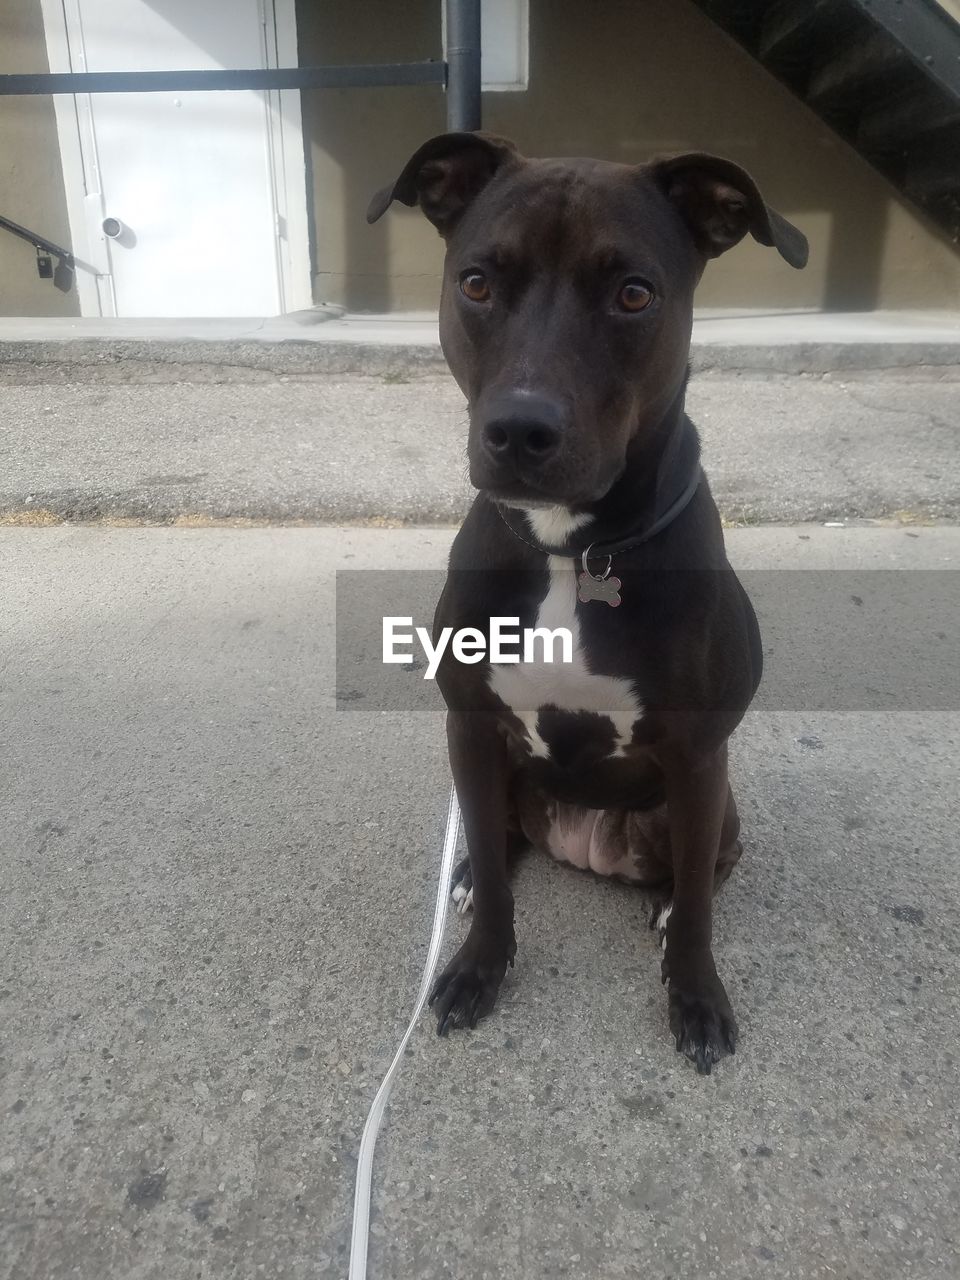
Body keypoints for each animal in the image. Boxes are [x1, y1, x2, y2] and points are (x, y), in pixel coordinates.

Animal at [371, 132, 808, 1070]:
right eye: (476, 282)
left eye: (634, 294)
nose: (520, 430)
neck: (573, 550)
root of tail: (586, 844)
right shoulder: (469, 728)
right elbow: (494, 869)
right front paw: (478, 967)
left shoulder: (697, 756)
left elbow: (701, 911)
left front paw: (696, 996)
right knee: (499, 839)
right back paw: (471, 874)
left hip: (711, 808)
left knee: (705, 869)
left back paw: (670, 902)